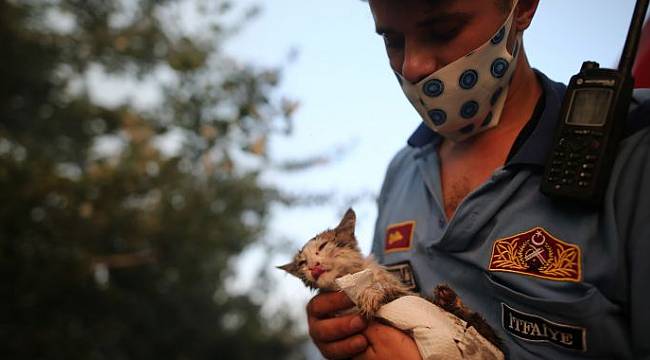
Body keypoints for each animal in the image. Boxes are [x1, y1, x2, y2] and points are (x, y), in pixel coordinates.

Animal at [278, 208, 502, 348]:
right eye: (302, 263)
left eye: (323, 246)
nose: (313, 267)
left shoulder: (404, 294)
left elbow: (389, 290)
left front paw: (371, 293)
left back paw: (448, 298)